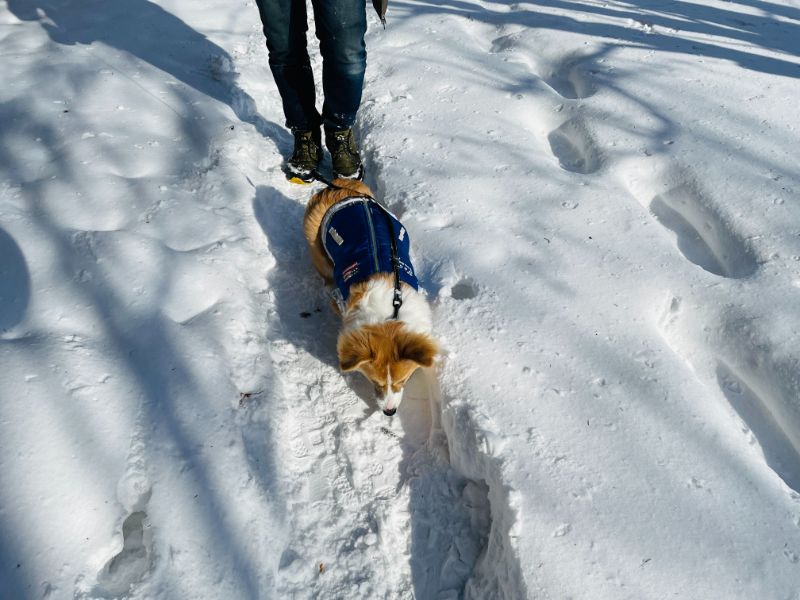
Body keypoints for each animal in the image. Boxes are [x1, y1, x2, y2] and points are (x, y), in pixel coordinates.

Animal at [304, 176, 438, 414]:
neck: (390, 314)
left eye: (403, 380)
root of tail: (339, 186)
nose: (389, 412)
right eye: (375, 382)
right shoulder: (341, 302)